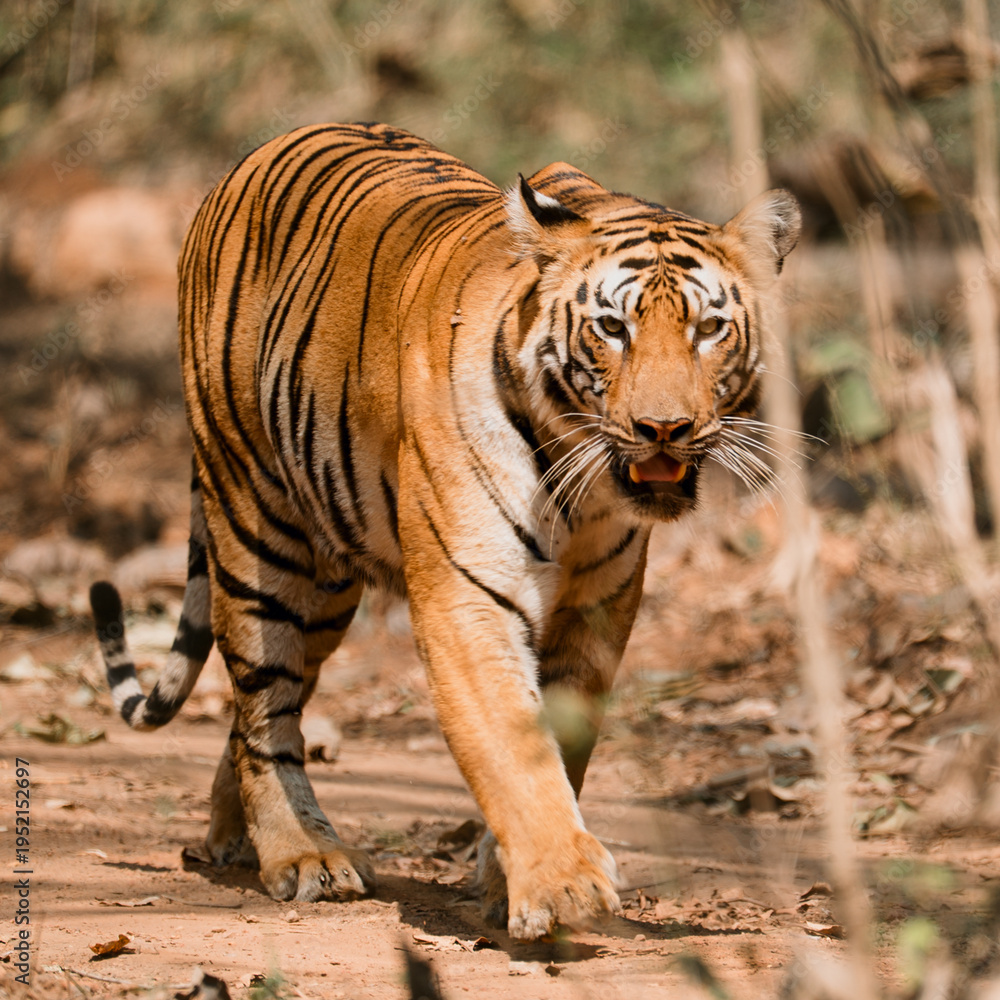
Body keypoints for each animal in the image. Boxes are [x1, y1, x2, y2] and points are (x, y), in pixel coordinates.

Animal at [89, 121, 799, 941]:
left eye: (709, 328)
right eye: (612, 328)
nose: (664, 429)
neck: (584, 489)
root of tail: (250, 158)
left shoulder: (598, 609)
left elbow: (564, 744)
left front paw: (504, 878)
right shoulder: (467, 598)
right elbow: (515, 745)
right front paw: (561, 885)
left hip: (327, 589)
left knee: (258, 706)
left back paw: (235, 836)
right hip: (259, 531)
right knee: (264, 708)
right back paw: (302, 854)